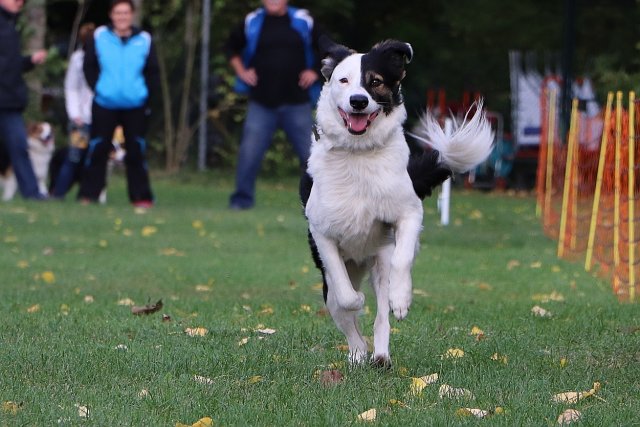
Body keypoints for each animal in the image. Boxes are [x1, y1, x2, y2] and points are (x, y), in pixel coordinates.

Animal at [300, 37, 496, 368]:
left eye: (375, 82)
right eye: (343, 80)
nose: (358, 101)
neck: (359, 154)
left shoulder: (408, 213)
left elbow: (402, 261)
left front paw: (401, 300)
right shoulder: (321, 231)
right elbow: (344, 293)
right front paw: (357, 302)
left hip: (380, 259)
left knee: (381, 314)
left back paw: (381, 354)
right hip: (338, 275)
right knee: (344, 314)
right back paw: (358, 353)